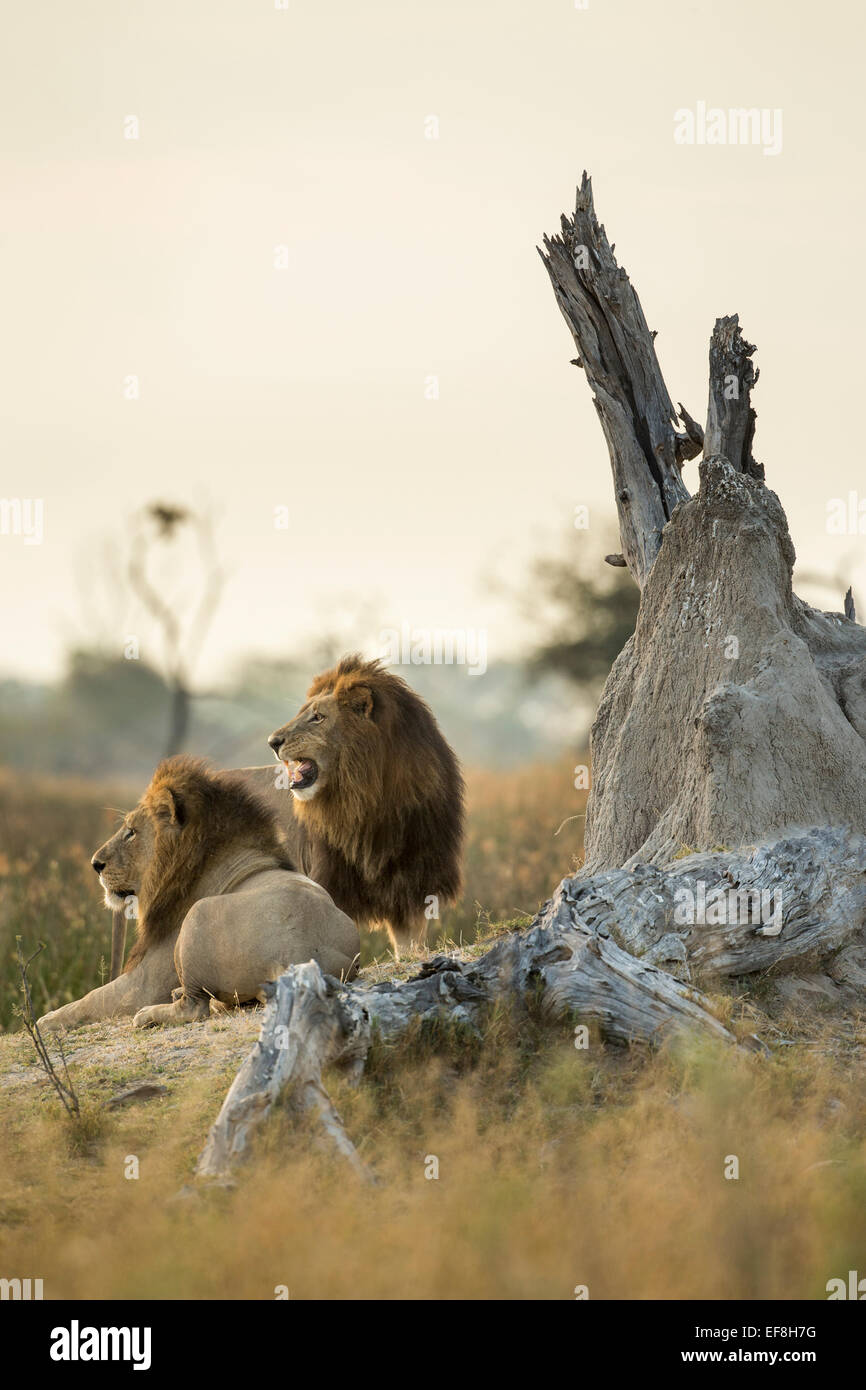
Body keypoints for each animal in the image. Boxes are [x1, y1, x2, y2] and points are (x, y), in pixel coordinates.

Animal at [37, 756, 359, 1033]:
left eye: (130, 832)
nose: (95, 864)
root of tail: (298, 963)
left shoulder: (145, 982)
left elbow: (91, 998)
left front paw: (45, 1020)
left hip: (197, 916)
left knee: (194, 1008)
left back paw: (149, 1014)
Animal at [231, 655, 465, 954]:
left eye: (318, 717)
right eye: (302, 713)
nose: (272, 742)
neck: (373, 805)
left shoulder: (413, 890)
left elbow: (410, 950)